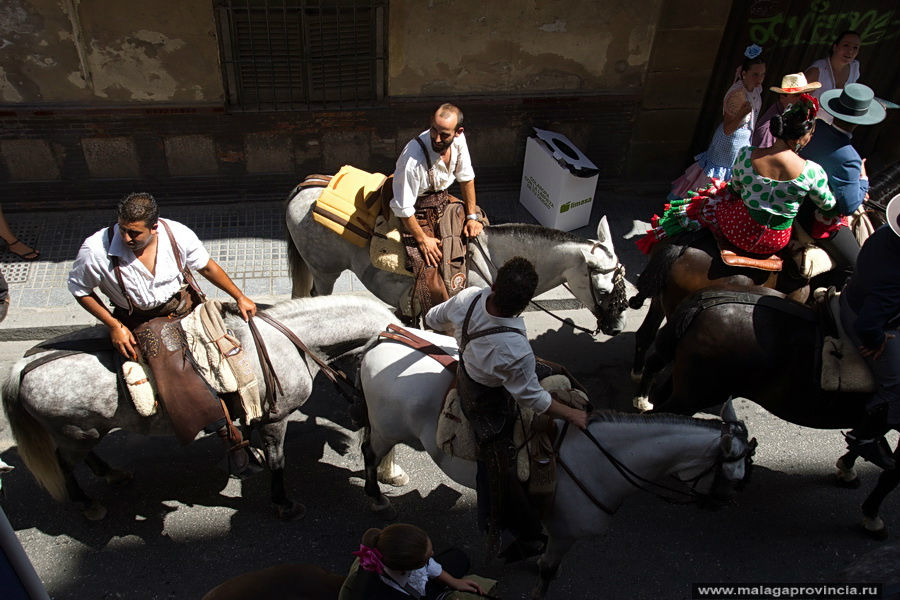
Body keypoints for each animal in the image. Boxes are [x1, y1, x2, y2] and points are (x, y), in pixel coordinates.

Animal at [0, 296, 394, 520]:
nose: (360, 416)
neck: (289, 343)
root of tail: (23, 367)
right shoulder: (276, 418)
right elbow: (278, 460)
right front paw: (283, 503)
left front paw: (251, 459)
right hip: (77, 433)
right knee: (66, 465)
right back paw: (88, 504)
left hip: (83, 433)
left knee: (83, 458)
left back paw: (112, 474)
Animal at [356, 328, 756, 600]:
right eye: (729, 475)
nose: (722, 503)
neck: (599, 461)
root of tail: (383, 337)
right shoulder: (566, 533)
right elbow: (549, 570)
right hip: (385, 429)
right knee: (369, 453)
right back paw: (377, 499)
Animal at [644, 286, 896, 540]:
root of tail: (704, 303)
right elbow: (891, 475)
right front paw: (872, 516)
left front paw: (847, 469)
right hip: (697, 394)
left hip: (688, 390)